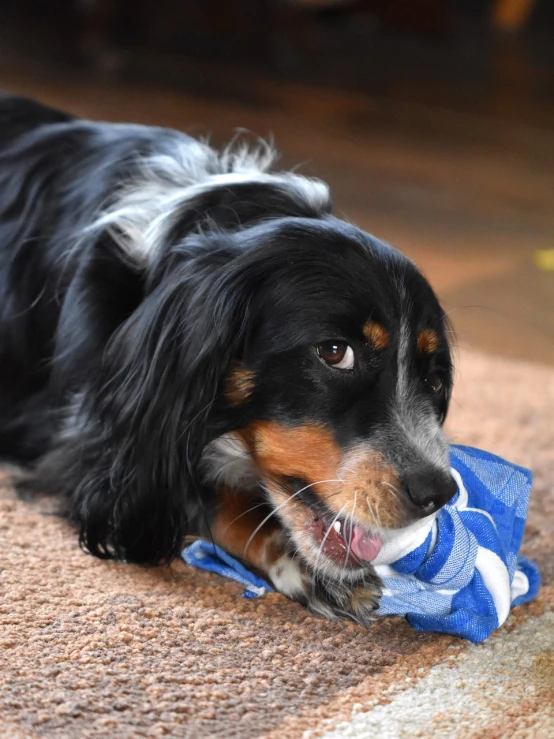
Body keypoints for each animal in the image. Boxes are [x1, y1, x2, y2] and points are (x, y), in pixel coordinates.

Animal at [0, 92, 454, 624]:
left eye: (434, 380)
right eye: (335, 352)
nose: (438, 493)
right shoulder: (85, 447)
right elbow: (197, 495)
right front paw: (307, 567)